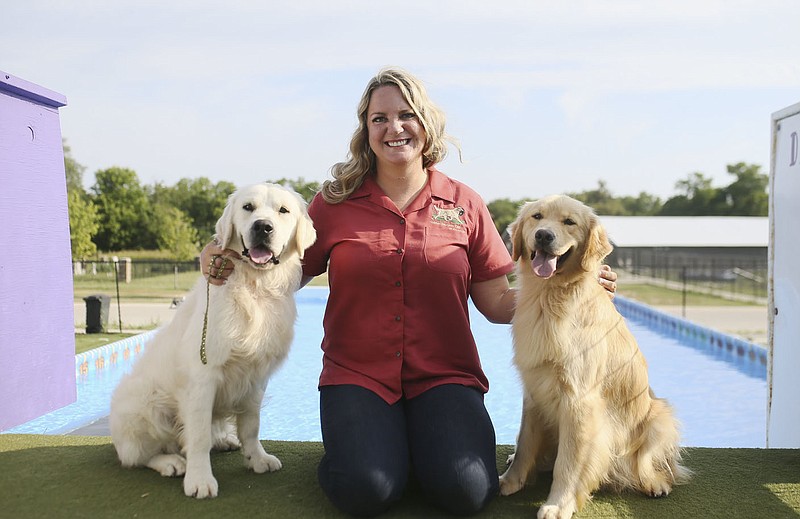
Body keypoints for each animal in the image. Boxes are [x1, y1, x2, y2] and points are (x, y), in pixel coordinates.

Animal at [110, 183, 316, 500]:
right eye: (248, 207)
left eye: (283, 210)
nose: (263, 227)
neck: (255, 286)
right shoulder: (203, 377)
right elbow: (197, 438)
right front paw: (199, 479)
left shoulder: (256, 377)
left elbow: (251, 426)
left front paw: (256, 458)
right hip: (145, 403)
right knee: (137, 455)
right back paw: (171, 462)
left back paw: (223, 441)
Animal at [500, 196, 688, 519]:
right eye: (537, 217)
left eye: (569, 222)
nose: (544, 236)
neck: (550, 296)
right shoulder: (534, 389)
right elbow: (525, 442)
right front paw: (511, 480)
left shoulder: (579, 400)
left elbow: (568, 463)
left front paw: (558, 504)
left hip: (659, 417)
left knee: (651, 464)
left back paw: (655, 483)